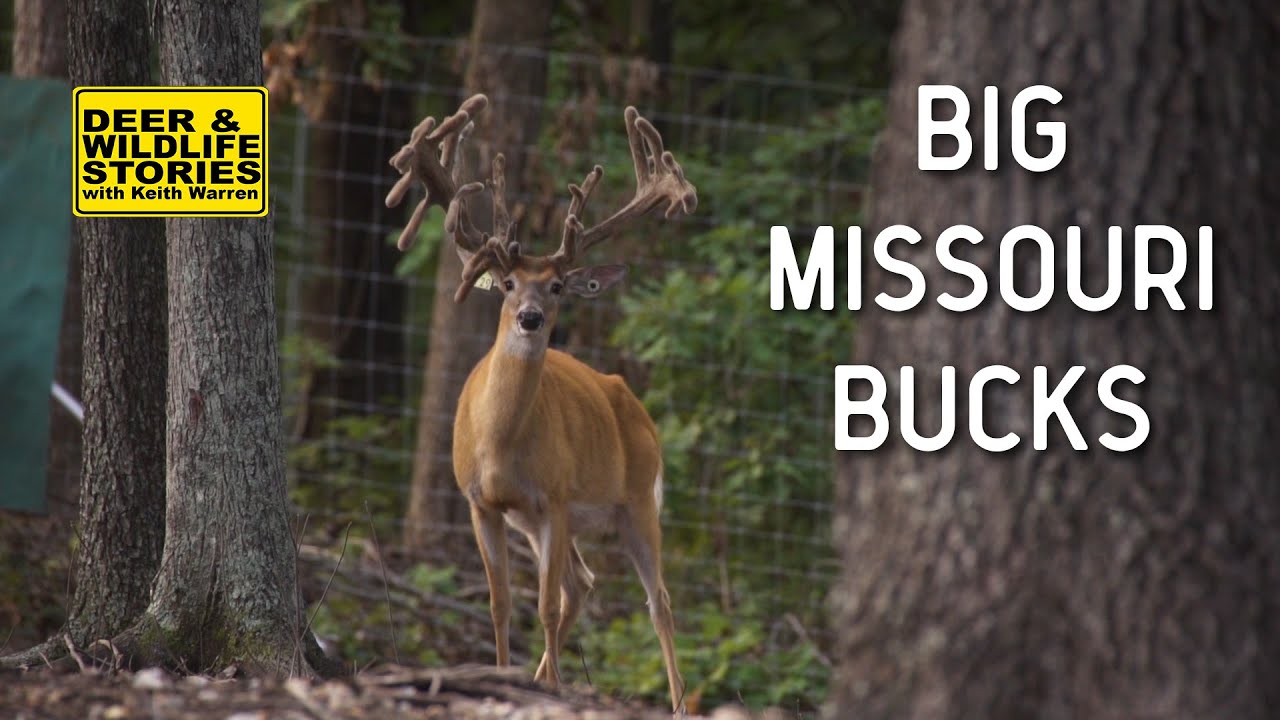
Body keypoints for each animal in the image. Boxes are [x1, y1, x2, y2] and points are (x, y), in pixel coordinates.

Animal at [384, 94, 697, 713]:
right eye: (506, 284)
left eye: (556, 286)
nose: (530, 318)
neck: (499, 443)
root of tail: (636, 407)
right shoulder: (482, 501)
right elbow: (501, 602)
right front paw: (503, 676)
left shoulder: (554, 496)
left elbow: (545, 605)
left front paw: (546, 687)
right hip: (544, 520)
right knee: (583, 583)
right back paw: (538, 675)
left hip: (634, 498)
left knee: (657, 600)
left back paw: (673, 701)